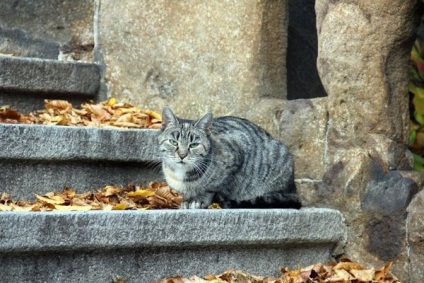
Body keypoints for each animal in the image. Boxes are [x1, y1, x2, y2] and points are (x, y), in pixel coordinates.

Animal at [157, 107, 302, 210]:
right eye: (173, 142)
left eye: (194, 145)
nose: (182, 155)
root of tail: (293, 188)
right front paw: (187, 200)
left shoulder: (235, 156)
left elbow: (212, 187)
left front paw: (199, 200)